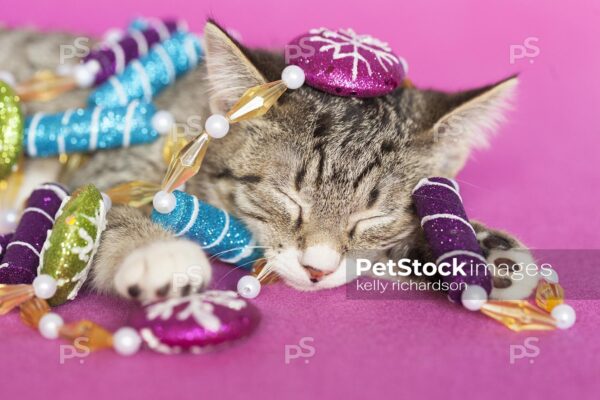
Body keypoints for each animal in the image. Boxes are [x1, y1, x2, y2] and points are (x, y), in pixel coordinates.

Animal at [0, 21, 536, 302]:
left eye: (374, 218)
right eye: (286, 198)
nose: (317, 269)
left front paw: (478, 249)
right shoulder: (111, 160)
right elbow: (108, 203)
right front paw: (158, 252)